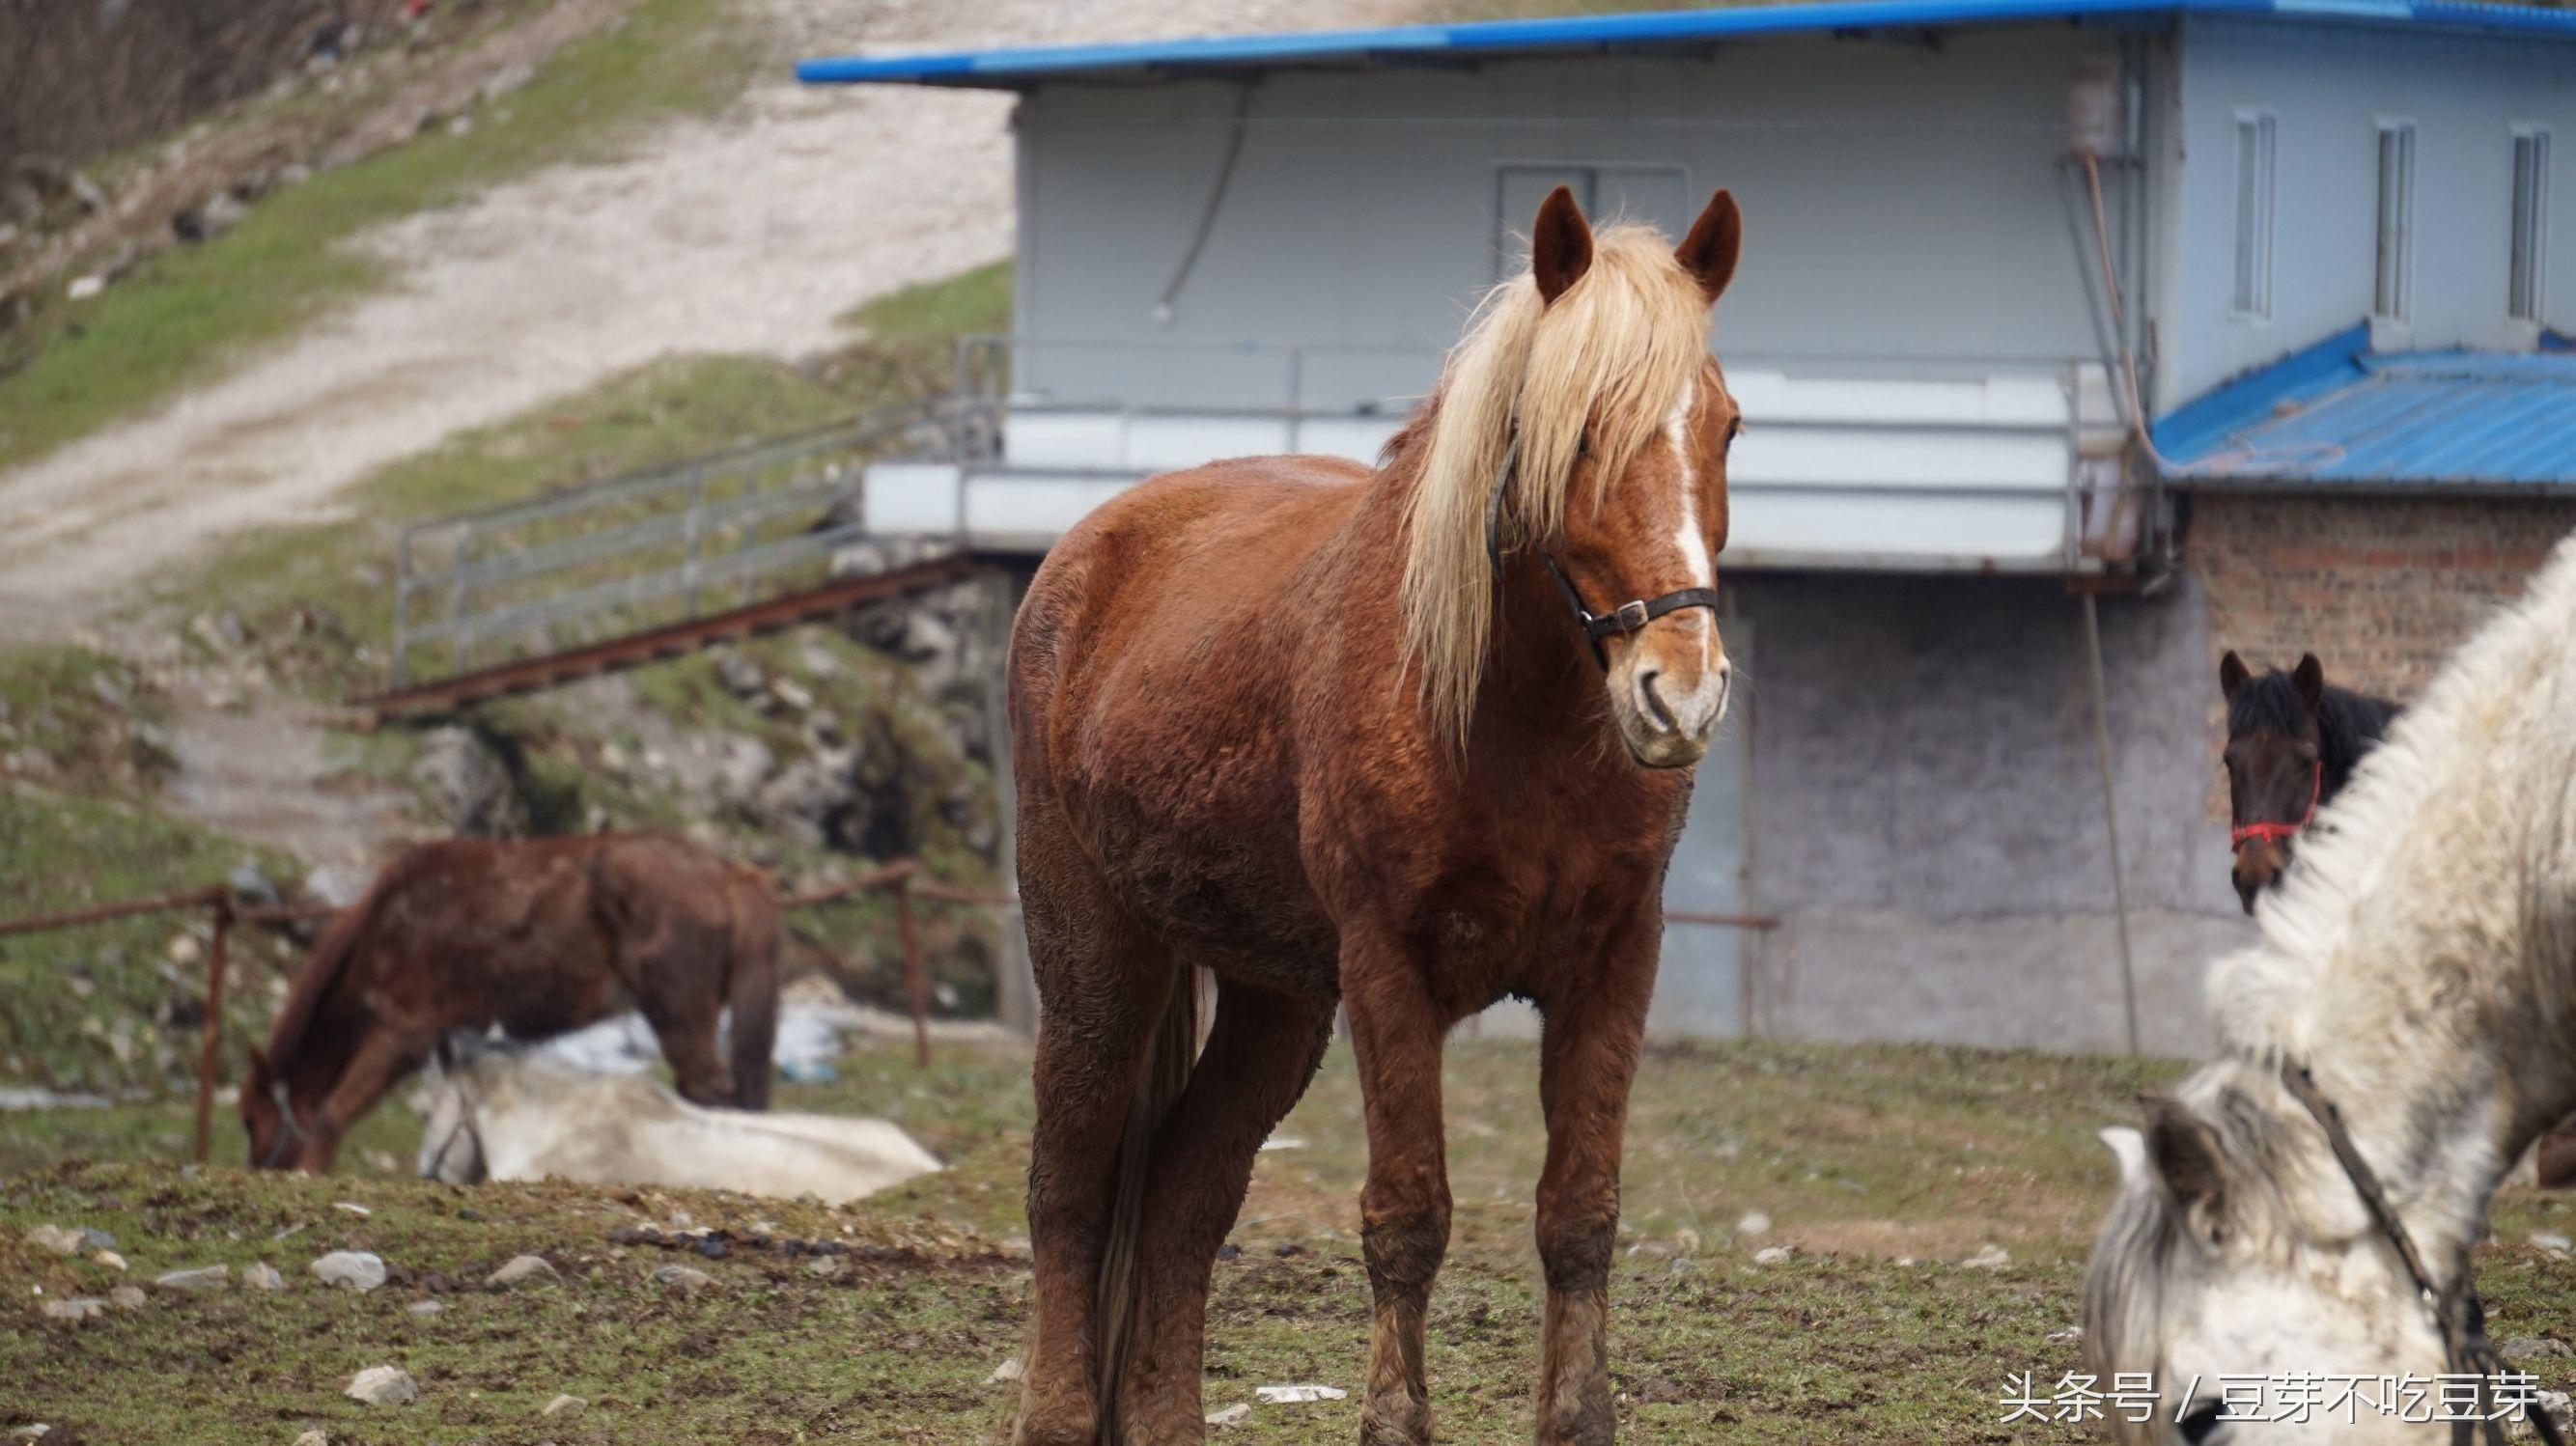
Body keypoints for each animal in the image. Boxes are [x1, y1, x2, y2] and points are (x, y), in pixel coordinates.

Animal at [245, 829, 777, 1164]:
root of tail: (728, 874)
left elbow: (329, 1117)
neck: (384, 929)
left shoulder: (401, 1037)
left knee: (710, 1090)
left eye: (251, 1121)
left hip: (677, 1013)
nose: (265, 1170)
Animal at [1004, 185, 1751, 1432]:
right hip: (1098, 966)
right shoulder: (1388, 970)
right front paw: (1392, 1421)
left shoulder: (1614, 964)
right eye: (1573, 430)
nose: (1678, 692)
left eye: (1727, 427)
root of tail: (1084, 553)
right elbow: (1406, 1219)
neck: (1508, 721)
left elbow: (1579, 1215)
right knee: (1070, 1191)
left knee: (1182, 1198)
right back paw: (1059, 1415)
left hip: (1277, 1000)